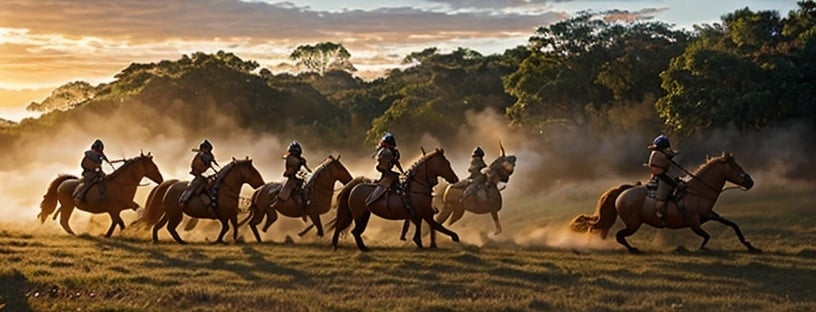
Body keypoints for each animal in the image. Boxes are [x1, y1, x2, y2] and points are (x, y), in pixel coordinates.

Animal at [135, 158, 264, 244]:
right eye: (253, 170)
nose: (261, 183)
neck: (223, 190)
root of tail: (170, 186)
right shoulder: (223, 215)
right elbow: (226, 227)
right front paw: (218, 240)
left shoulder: (231, 214)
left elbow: (234, 227)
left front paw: (233, 240)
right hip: (175, 215)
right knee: (170, 227)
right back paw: (180, 241)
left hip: (169, 214)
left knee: (159, 226)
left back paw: (159, 240)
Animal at [330, 147, 460, 252]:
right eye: (444, 164)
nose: (455, 179)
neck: (417, 186)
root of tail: (354, 187)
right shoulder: (427, 215)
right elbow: (437, 226)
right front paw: (454, 237)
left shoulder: (417, 215)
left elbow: (420, 228)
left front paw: (420, 243)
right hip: (359, 216)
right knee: (352, 230)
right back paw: (359, 248)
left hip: (362, 215)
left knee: (349, 229)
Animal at [568, 154, 760, 254]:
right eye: (737, 169)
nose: (750, 182)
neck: (698, 191)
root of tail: (622, 192)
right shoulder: (693, 221)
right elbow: (706, 236)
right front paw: (701, 249)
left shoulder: (710, 215)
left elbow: (732, 225)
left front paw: (748, 244)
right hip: (633, 223)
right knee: (619, 235)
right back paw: (631, 249)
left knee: (603, 230)